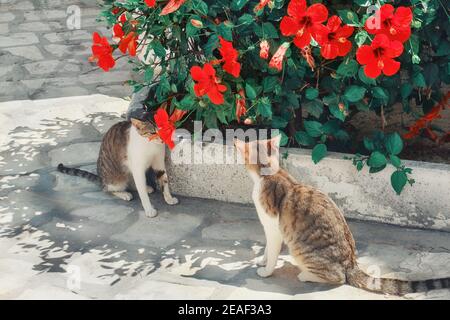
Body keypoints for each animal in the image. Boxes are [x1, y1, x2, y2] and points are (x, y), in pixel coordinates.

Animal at [236, 136, 450, 296]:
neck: (269, 174)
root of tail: (351, 263)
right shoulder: (269, 229)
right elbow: (266, 250)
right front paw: (261, 260)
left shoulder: (273, 229)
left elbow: (272, 252)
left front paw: (266, 270)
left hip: (299, 250)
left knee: (338, 277)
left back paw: (305, 275)